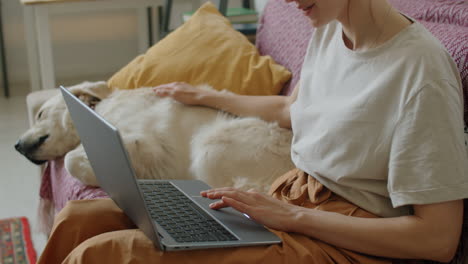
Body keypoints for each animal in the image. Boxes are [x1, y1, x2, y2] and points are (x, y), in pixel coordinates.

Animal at [16, 81, 294, 193]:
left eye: (39, 113)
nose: (17, 145)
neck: (99, 109)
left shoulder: (144, 142)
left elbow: (71, 159)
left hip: (210, 144)